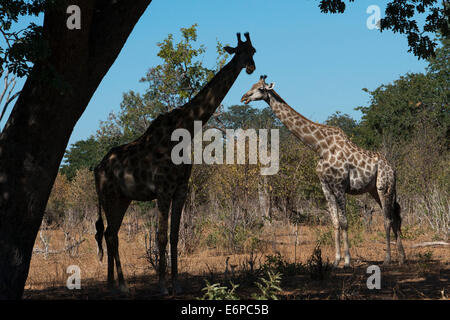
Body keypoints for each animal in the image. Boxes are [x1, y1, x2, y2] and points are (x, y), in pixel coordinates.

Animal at [94, 33, 256, 296]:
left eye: (254, 50)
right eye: (240, 51)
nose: (251, 67)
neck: (185, 127)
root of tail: (96, 169)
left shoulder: (181, 188)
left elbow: (174, 235)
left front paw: (177, 284)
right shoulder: (163, 189)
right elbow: (160, 236)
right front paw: (161, 286)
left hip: (122, 198)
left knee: (110, 233)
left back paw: (115, 287)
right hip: (109, 196)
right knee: (110, 235)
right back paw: (119, 287)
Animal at [241, 75, 406, 268]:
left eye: (260, 88)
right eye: (251, 85)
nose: (244, 97)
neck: (320, 147)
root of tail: (393, 169)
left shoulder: (340, 185)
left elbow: (345, 222)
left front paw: (347, 261)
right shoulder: (325, 186)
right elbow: (335, 222)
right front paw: (335, 261)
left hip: (384, 187)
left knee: (387, 219)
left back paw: (388, 259)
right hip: (375, 190)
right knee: (394, 216)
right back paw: (402, 258)